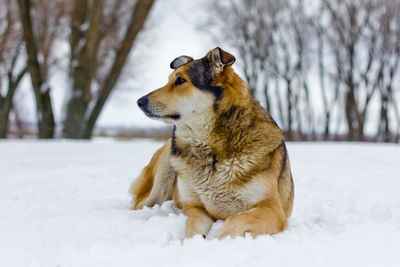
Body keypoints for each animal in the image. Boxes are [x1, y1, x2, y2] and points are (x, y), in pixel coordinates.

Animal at [131, 47, 294, 240]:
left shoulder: (273, 210)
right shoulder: (195, 207)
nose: (139, 102)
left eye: (180, 80)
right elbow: (193, 228)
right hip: (162, 172)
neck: (210, 146)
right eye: (170, 80)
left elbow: (235, 219)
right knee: (140, 204)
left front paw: (212, 239)